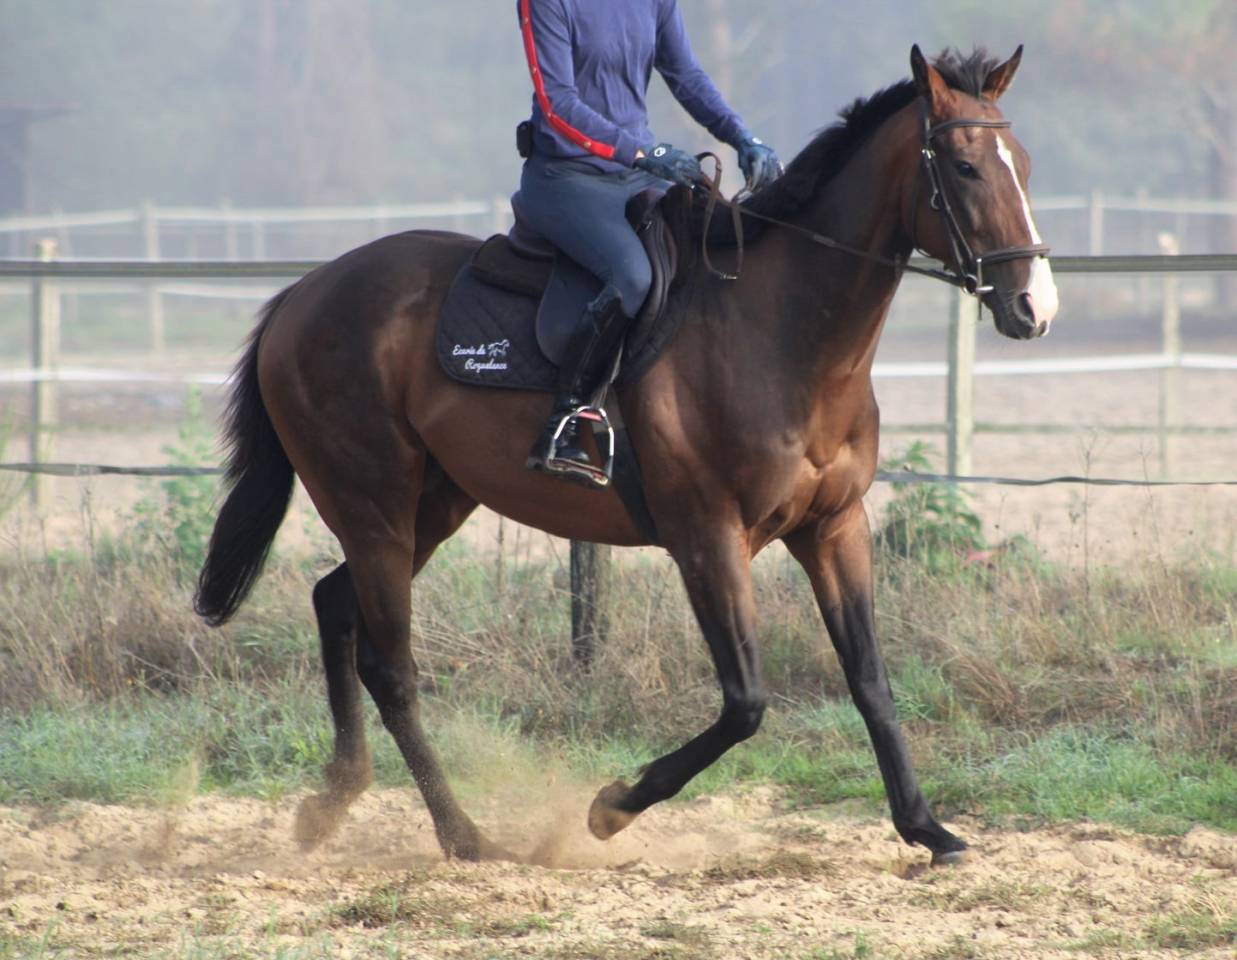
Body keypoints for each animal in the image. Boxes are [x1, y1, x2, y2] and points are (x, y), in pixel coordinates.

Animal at [195, 45, 1058, 867]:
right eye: (964, 167)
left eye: (1023, 162)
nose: (1033, 307)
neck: (779, 333)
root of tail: (303, 294)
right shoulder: (708, 539)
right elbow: (744, 702)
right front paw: (609, 808)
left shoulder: (833, 527)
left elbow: (870, 680)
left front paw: (926, 829)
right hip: (373, 506)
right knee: (391, 667)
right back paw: (463, 836)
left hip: (430, 507)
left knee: (335, 605)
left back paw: (333, 801)